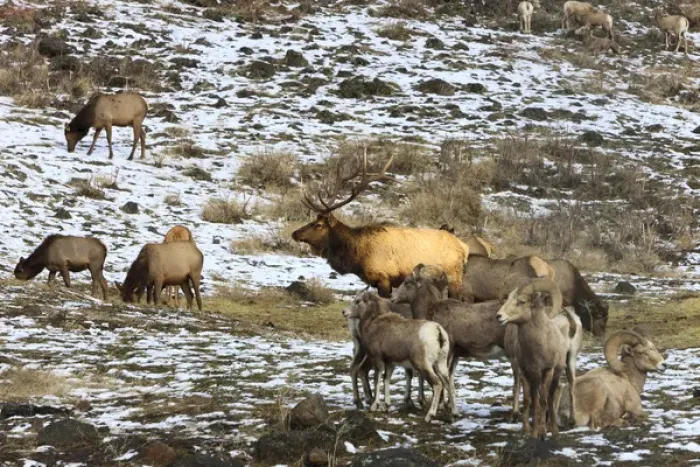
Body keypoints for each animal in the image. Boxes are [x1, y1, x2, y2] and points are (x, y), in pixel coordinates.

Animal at [343, 291, 452, 422]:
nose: (344, 312)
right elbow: (386, 379)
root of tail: (438, 332)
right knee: (449, 383)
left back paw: (429, 415)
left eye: (358, 301)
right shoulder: (390, 362)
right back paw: (452, 413)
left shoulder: (378, 359)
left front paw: (375, 406)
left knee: (437, 384)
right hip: (440, 364)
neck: (372, 325)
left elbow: (378, 379)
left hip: (423, 366)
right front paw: (387, 405)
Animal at [496, 279, 569, 438]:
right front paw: (531, 432)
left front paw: (542, 433)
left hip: (555, 375)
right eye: (508, 299)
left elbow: (542, 401)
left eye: (521, 301)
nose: (499, 316)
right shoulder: (527, 372)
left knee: (550, 398)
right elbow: (530, 400)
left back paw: (554, 430)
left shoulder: (547, 370)